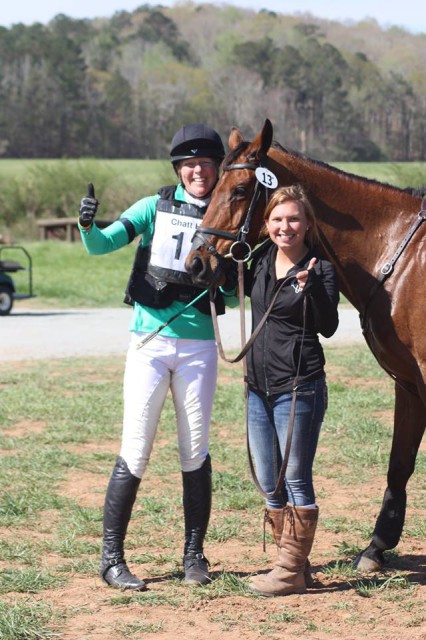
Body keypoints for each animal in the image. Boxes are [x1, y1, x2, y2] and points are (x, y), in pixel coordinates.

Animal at [186, 119, 426, 568]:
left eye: (240, 190)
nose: (197, 263)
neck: (405, 259)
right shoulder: (408, 383)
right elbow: (399, 464)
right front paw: (377, 546)